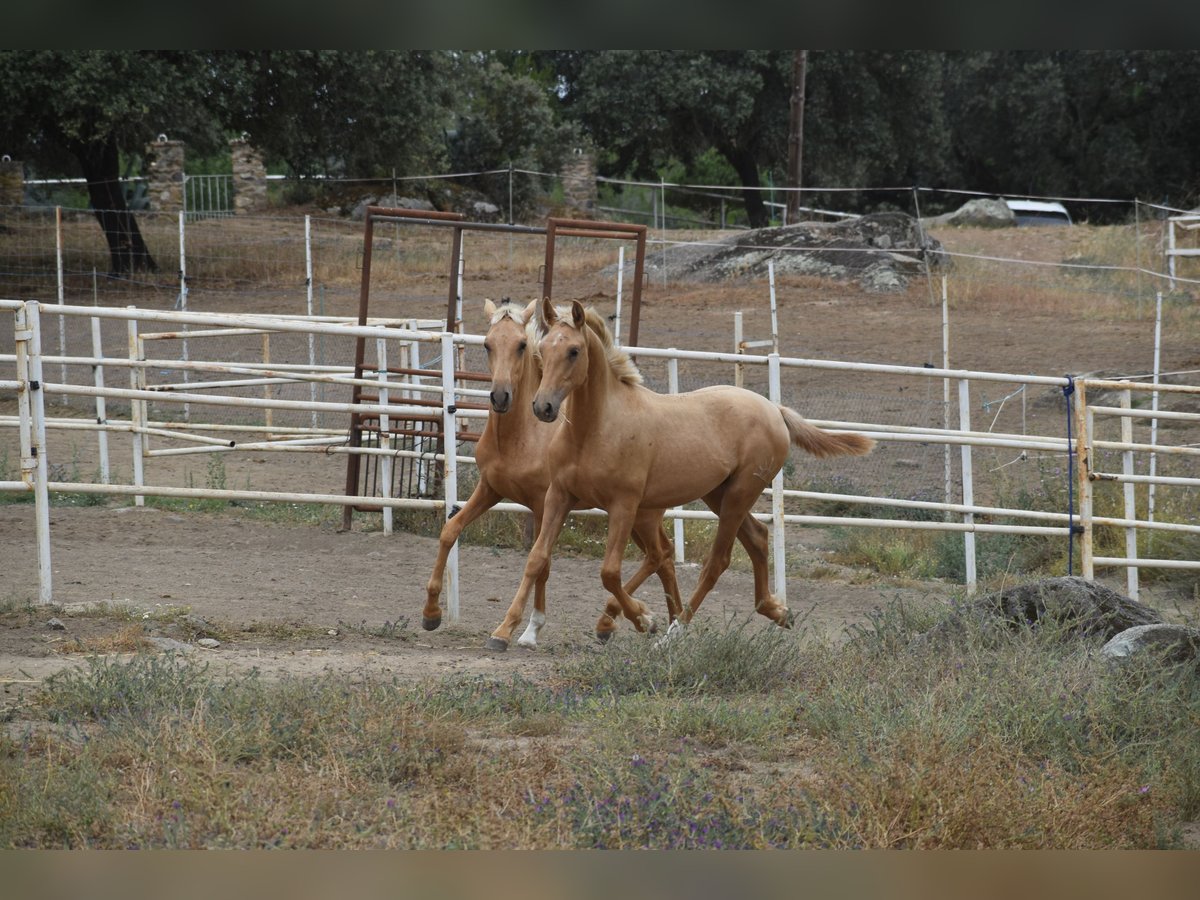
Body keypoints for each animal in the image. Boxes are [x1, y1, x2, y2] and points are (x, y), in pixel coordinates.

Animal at [424, 300, 686, 652]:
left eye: (522, 345)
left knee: (661, 557)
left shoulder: (541, 503)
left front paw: (524, 630)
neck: (521, 436)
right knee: (664, 558)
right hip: (636, 517)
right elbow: (450, 531)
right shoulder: (489, 489)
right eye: (488, 344)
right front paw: (431, 613)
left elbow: (541, 563)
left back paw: (642, 620)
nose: (500, 397)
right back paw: (663, 625)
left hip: (640, 515)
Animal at [492, 300, 878, 643]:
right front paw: (505, 632)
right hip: (718, 494)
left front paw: (643, 620)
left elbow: (609, 572)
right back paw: (776, 611)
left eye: (573, 351)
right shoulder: (559, 495)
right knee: (756, 538)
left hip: (738, 495)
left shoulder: (624, 505)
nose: (543, 407)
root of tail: (773, 409)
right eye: (542, 348)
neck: (596, 430)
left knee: (716, 562)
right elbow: (537, 558)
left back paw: (674, 632)